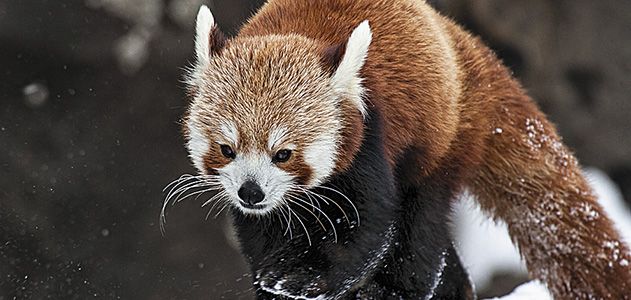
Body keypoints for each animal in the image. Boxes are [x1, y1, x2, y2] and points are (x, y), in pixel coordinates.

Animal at [173, 1, 631, 298]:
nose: (251, 192)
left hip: (444, 141)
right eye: (226, 149)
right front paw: (277, 275)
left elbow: (372, 227)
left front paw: (317, 281)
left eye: (283, 153)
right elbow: (261, 235)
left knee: (423, 225)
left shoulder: (371, 142)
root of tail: (460, 42)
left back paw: (402, 287)